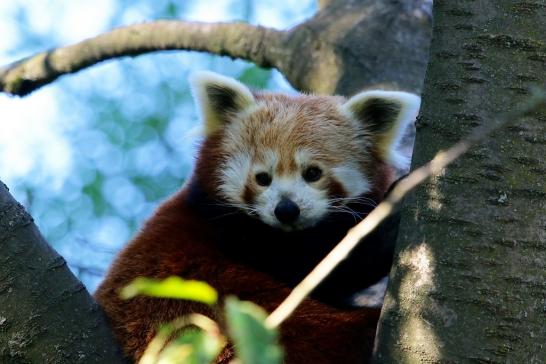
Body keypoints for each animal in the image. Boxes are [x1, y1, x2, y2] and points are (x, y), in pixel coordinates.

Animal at [93, 69, 418, 362]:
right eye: (262, 178)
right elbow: (327, 265)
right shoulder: (241, 235)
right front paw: (393, 215)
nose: (286, 209)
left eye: (313, 173)